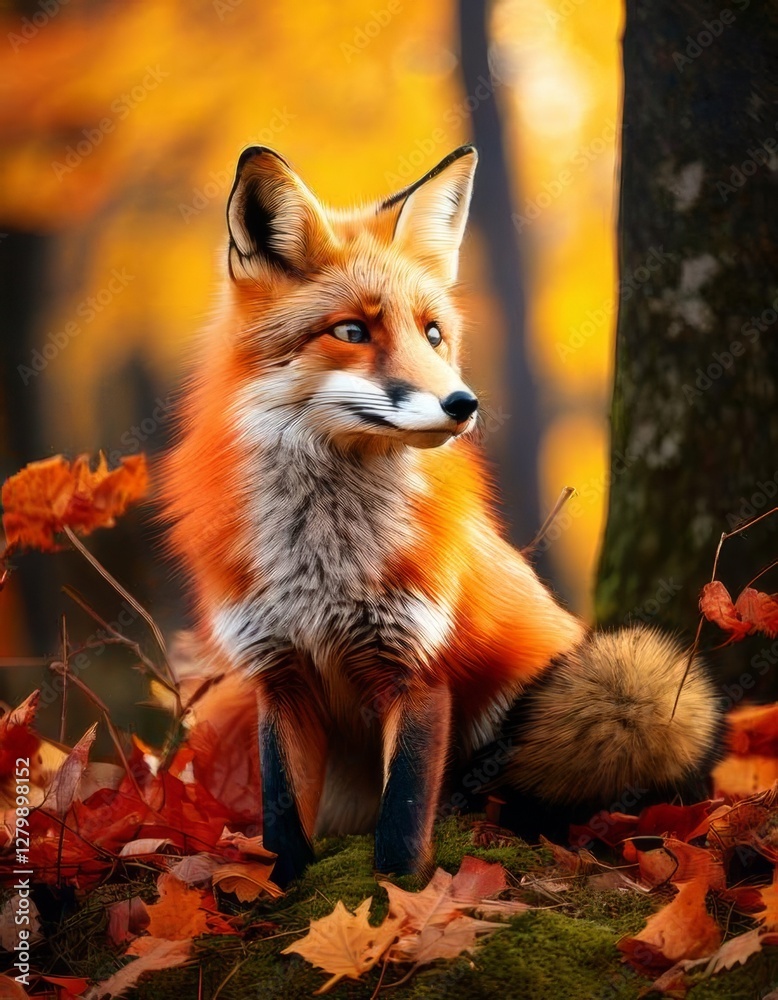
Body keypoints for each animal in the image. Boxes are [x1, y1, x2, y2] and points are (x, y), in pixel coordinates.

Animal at [162, 144, 723, 885]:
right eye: (352, 331)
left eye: (433, 334)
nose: (464, 404)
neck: (322, 558)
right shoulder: (278, 675)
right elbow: (282, 817)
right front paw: (277, 890)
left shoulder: (417, 666)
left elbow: (402, 815)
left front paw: (397, 897)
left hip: (594, 695)